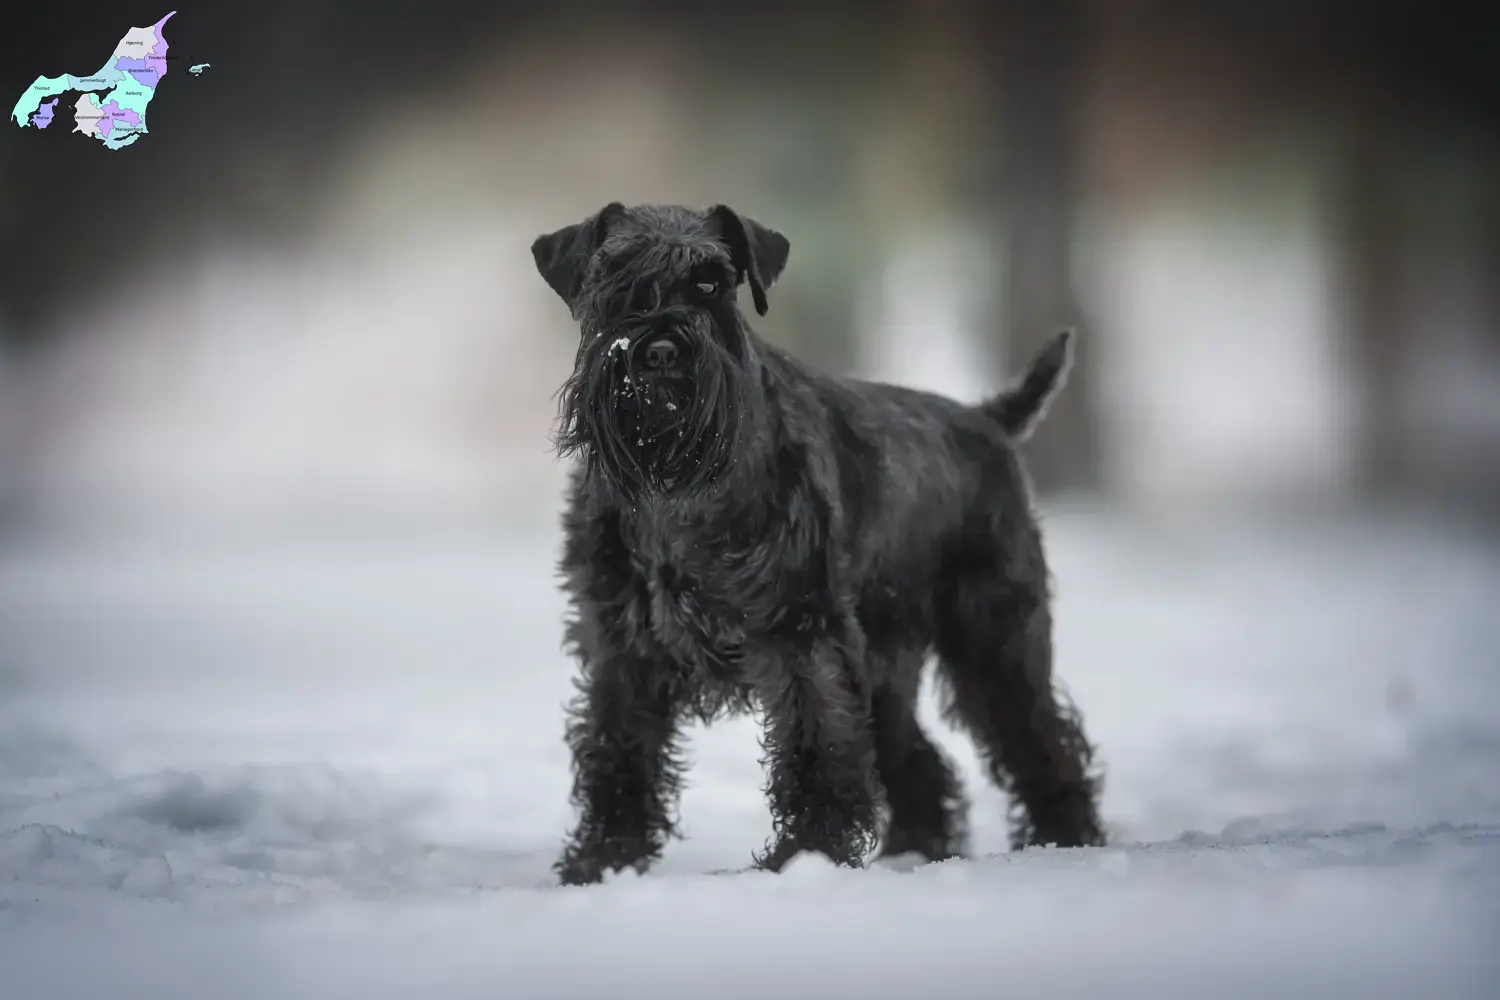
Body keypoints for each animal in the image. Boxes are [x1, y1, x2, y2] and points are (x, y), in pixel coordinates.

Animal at [528, 200, 1104, 881]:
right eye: (613, 276)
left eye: (711, 284)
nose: (662, 351)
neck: (676, 490)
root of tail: (988, 419)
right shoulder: (622, 645)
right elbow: (619, 749)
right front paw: (604, 861)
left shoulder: (802, 631)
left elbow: (816, 743)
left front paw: (807, 854)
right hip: (888, 662)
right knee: (920, 759)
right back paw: (917, 851)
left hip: (996, 641)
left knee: (1040, 738)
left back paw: (1066, 840)